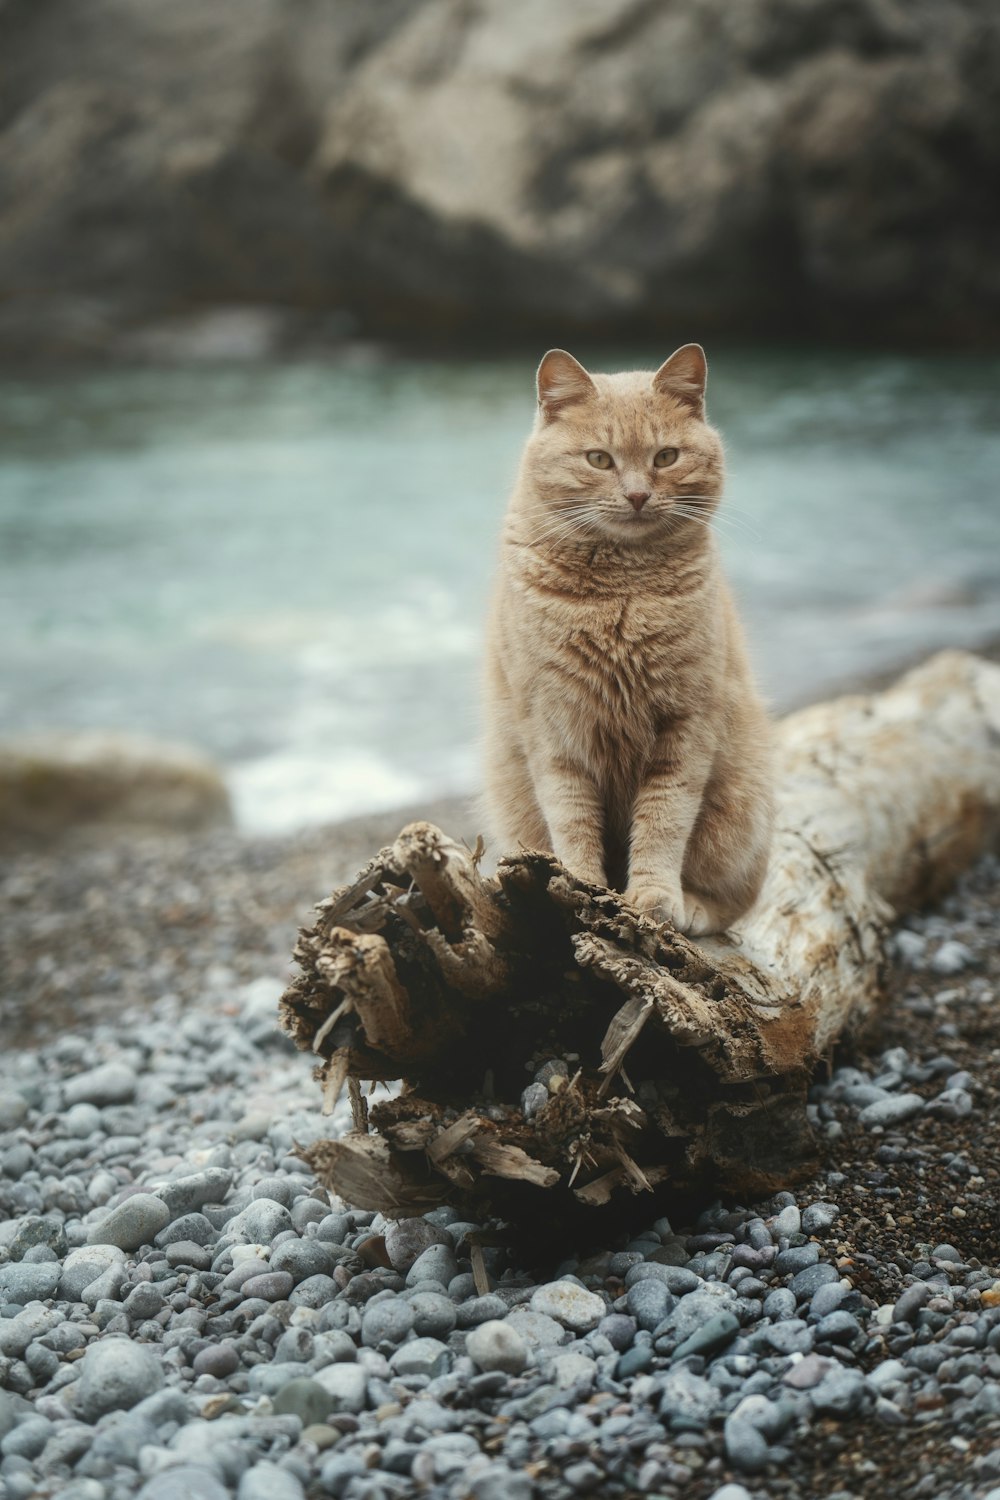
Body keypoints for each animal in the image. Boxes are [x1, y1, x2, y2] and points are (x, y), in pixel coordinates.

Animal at [482, 345, 773, 936]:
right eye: (599, 459)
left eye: (665, 457)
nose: (638, 495)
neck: (623, 592)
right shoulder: (552, 729)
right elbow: (571, 816)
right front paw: (581, 886)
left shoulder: (686, 727)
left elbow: (664, 821)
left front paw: (654, 899)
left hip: (740, 810)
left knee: (738, 898)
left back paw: (695, 908)